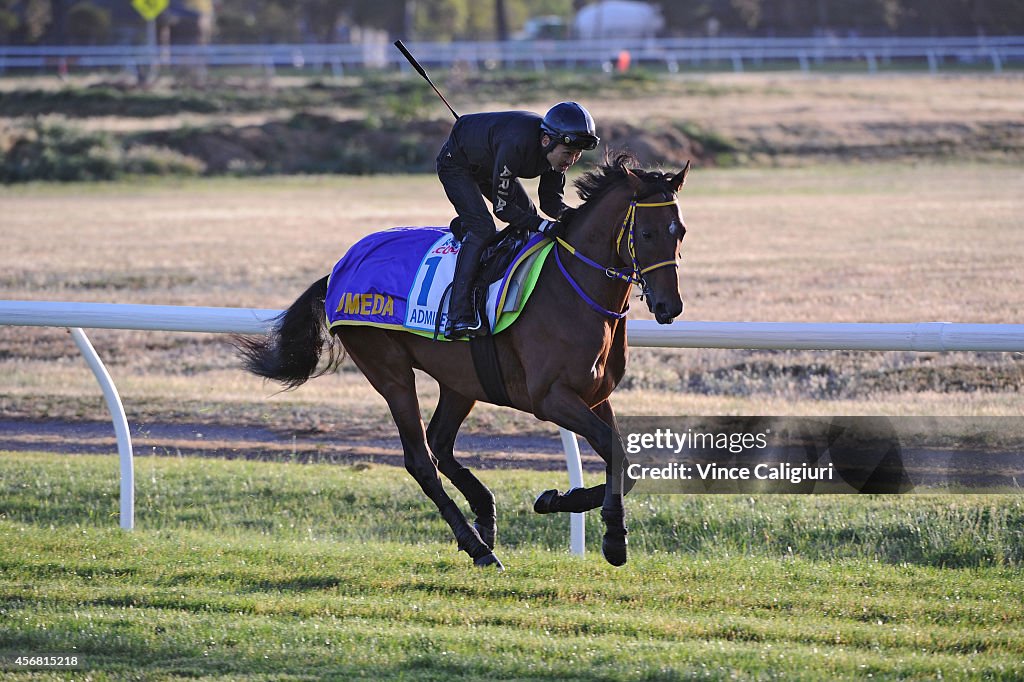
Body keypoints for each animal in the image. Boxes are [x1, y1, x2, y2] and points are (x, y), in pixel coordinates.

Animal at [235, 153, 692, 569]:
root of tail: (338, 271)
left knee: (439, 443)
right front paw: (592, 523)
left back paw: (485, 515)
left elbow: (622, 462)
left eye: (680, 232)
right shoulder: (551, 398)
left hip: (461, 381)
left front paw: (584, 515)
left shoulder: (596, 395)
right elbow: (614, 454)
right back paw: (477, 546)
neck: (573, 288)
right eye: (646, 232)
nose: (669, 306)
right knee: (421, 459)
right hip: (389, 370)